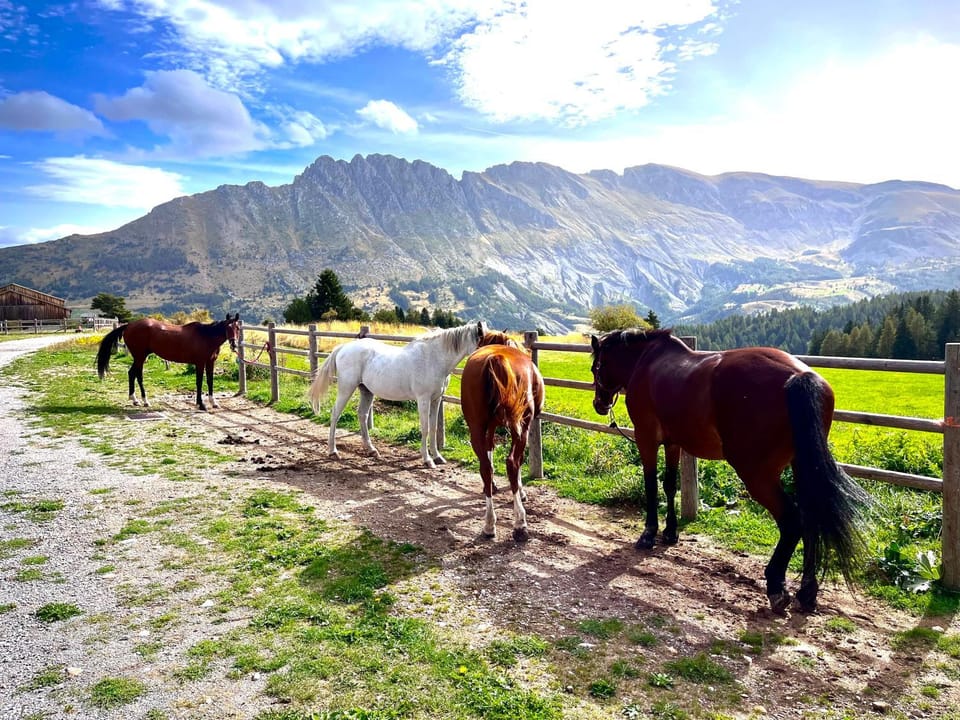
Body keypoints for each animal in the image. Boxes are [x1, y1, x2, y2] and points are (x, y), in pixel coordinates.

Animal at [97, 314, 240, 411]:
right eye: (228, 327)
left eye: (238, 328)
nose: (234, 345)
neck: (206, 336)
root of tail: (129, 325)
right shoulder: (199, 363)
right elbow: (199, 382)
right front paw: (201, 404)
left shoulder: (210, 362)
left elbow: (210, 381)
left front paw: (213, 403)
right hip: (140, 357)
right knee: (138, 375)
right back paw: (145, 401)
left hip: (139, 357)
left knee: (132, 373)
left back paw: (135, 400)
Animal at [308, 321, 487, 468]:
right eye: (487, 341)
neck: (433, 358)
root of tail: (343, 348)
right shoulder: (423, 399)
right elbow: (425, 428)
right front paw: (427, 460)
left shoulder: (436, 400)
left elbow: (434, 427)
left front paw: (437, 457)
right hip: (346, 389)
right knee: (335, 414)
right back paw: (333, 451)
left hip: (366, 391)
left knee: (362, 415)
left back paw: (371, 449)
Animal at [460, 331, 544, 541]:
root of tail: (496, 359)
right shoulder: (523, 425)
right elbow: (519, 461)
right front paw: (521, 493)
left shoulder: (489, 427)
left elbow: (489, 452)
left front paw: (491, 486)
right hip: (521, 425)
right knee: (512, 462)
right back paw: (520, 523)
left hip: (476, 427)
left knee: (485, 467)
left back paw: (489, 524)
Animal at [590, 327, 871, 613]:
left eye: (595, 367)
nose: (599, 404)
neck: (646, 361)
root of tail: (798, 377)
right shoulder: (673, 442)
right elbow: (669, 484)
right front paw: (670, 532)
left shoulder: (646, 438)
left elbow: (650, 485)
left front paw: (648, 534)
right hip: (801, 466)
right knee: (811, 517)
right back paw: (807, 591)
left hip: (757, 475)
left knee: (792, 521)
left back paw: (776, 586)